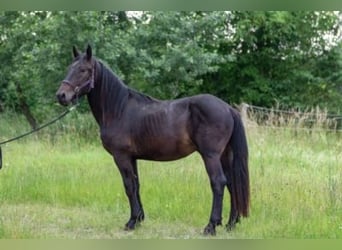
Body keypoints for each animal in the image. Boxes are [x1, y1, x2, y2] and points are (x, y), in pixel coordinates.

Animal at [55, 45, 248, 236]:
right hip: (224, 156)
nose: (61, 95)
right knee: (232, 183)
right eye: (69, 68)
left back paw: (211, 226)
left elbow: (129, 186)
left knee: (218, 182)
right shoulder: (132, 158)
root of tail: (227, 108)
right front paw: (139, 218)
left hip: (211, 156)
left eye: (83, 70)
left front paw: (132, 221)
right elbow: (136, 184)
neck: (119, 109)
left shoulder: (121, 156)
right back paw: (231, 223)